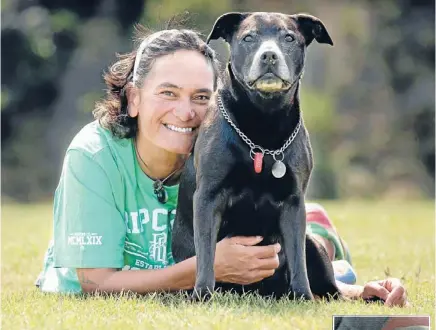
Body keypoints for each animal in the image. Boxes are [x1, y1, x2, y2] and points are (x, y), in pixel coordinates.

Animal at [172, 11, 342, 302]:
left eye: (289, 38)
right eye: (248, 38)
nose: (269, 56)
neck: (263, 123)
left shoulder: (294, 202)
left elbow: (297, 258)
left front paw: (302, 296)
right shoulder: (208, 197)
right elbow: (207, 253)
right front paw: (203, 293)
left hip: (315, 247)